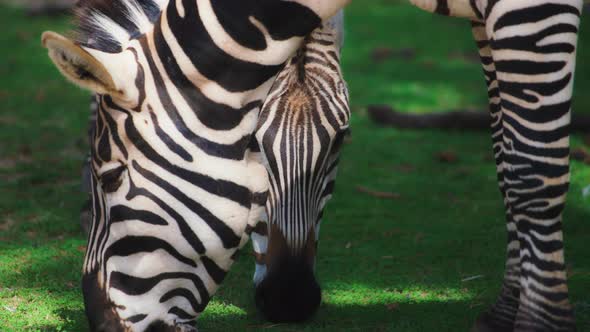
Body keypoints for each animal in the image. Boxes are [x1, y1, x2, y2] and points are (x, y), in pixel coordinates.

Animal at [254, 1, 588, 330]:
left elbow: (529, 169)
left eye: (340, 140)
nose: (290, 298)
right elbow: (506, 161)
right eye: (252, 141)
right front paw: (505, 313)